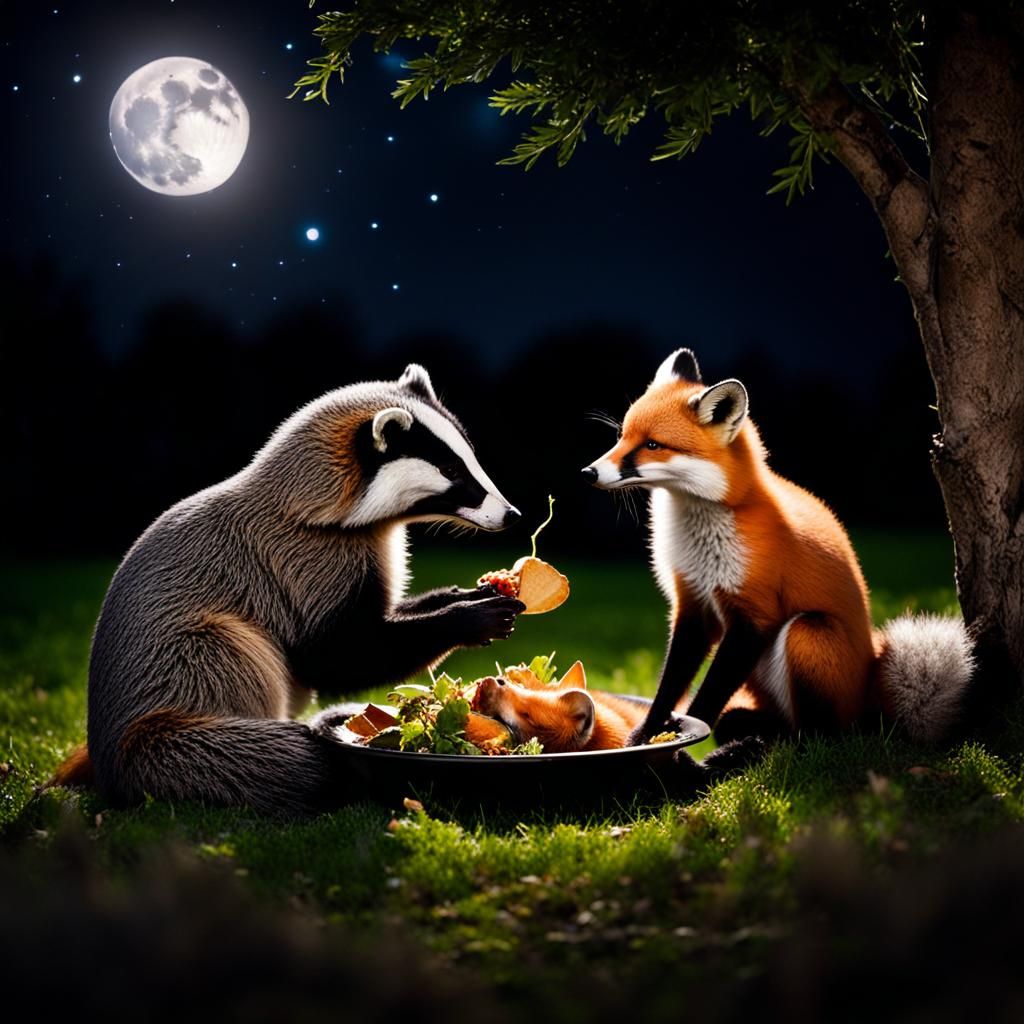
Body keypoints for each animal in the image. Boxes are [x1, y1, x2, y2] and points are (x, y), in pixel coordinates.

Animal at [50, 364, 526, 814]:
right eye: (450, 470)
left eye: (470, 457)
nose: (512, 515)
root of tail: (105, 764)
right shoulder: (306, 560)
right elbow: (339, 656)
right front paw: (467, 618)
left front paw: (464, 596)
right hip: (181, 712)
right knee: (298, 760)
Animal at [582, 348, 974, 748]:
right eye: (622, 437)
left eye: (652, 445)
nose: (588, 473)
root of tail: (871, 699)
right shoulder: (692, 603)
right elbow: (669, 686)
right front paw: (645, 735)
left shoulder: (754, 615)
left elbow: (705, 700)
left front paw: (680, 741)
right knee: (752, 724)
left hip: (807, 634)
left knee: (819, 738)